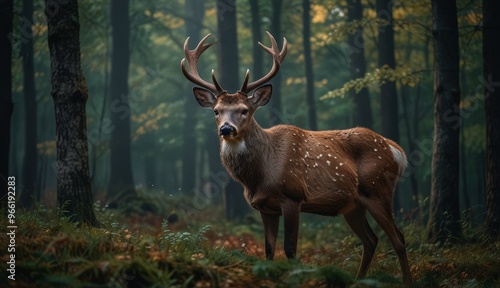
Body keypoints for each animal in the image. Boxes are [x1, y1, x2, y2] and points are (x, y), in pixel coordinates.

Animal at [182, 31, 412, 284]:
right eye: (216, 111)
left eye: (244, 110)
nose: (226, 129)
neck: (259, 176)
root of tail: (395, 150)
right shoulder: (265, 208)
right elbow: (269, 249)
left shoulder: (292, 197)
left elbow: (290, 248)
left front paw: (294, 278)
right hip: (354, 205)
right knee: (371, 240)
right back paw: (357, 280)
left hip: (378, 190)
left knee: (398, 238)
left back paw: (406, 280)